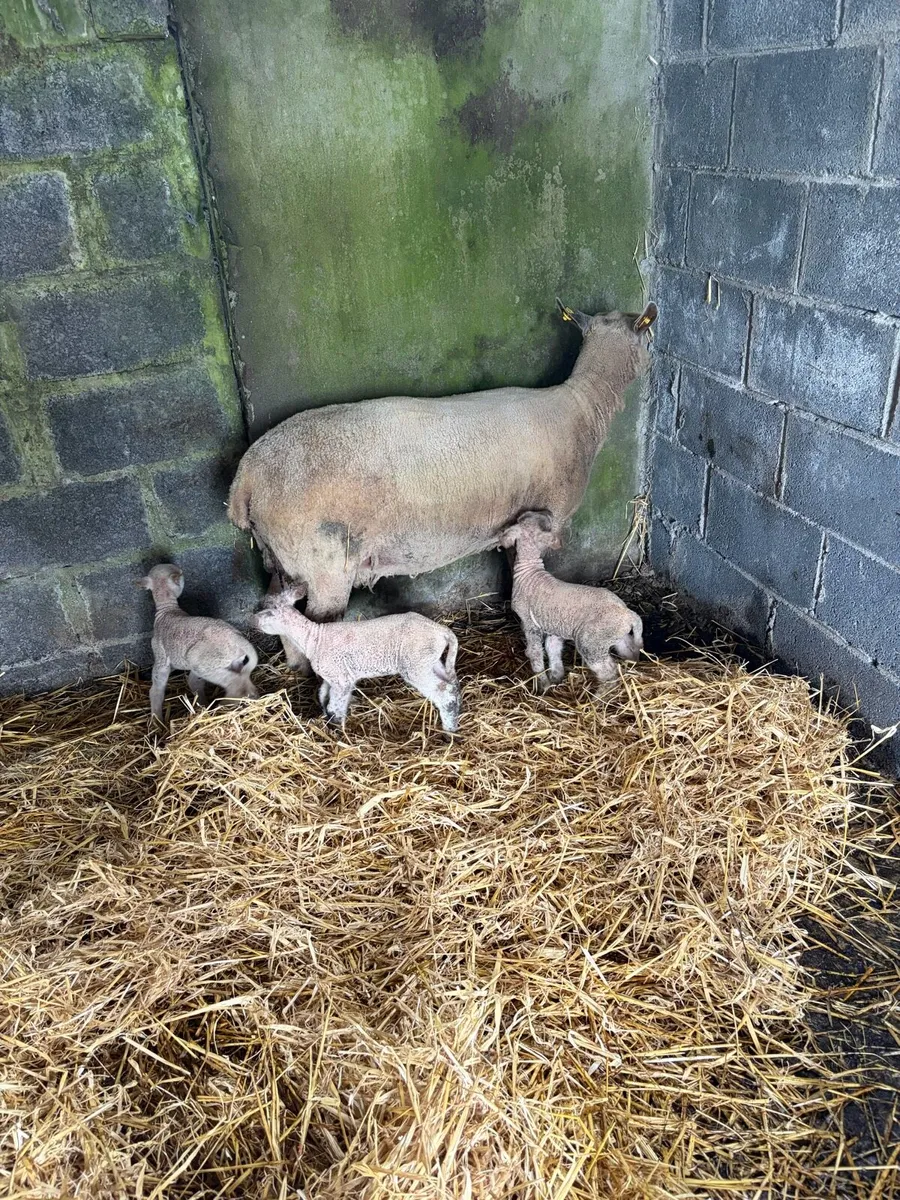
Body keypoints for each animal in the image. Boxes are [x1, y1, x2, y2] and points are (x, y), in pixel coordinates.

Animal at [140, 564, 259, 721]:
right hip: (229, 661)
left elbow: (157, 688)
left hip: (204, 661)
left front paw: (156, 720)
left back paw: (225, 705)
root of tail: (236, 638)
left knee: (234, 682)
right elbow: (193, 683)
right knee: (241, 677)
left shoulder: (160, 656)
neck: (166, 609)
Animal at [252, 588, 461, 732]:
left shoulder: (341, 677)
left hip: (415, 663)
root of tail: (442, 630)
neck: (313, 639)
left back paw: (449, 730)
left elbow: (334, 706)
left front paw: (337, 727)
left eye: (268, 612)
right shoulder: (333, 676)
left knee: (445, 691)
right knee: (453, 684)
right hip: (430, 660)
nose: (253, 620)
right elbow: (323, 696)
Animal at [499, 512, 643, 692]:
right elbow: (552, 647)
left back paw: (598, 696)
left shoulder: (529, 622)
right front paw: (556, 676)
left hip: (591, 641)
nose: (548, 513)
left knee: (609, 673)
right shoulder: (553, 625)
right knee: (629, 648)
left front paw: (543, 684)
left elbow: (535, 652)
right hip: (614, 634)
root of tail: (628, 613)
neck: (530, 569)